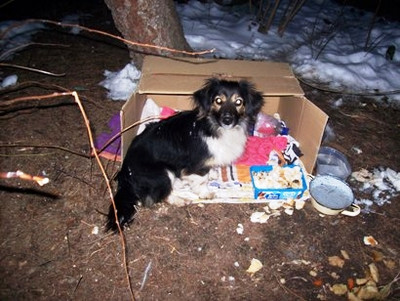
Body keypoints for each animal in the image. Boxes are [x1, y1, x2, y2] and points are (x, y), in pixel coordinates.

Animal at [106, 77, 264, 230]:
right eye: (218, 100)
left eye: (239, 102)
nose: (227, 120)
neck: (214, 126)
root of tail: (124, 173)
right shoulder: (196, 164)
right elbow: (202, 179)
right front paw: (205, 193)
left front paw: (213, 173)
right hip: (162, 172)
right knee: (158, 195)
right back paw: (179, 199)